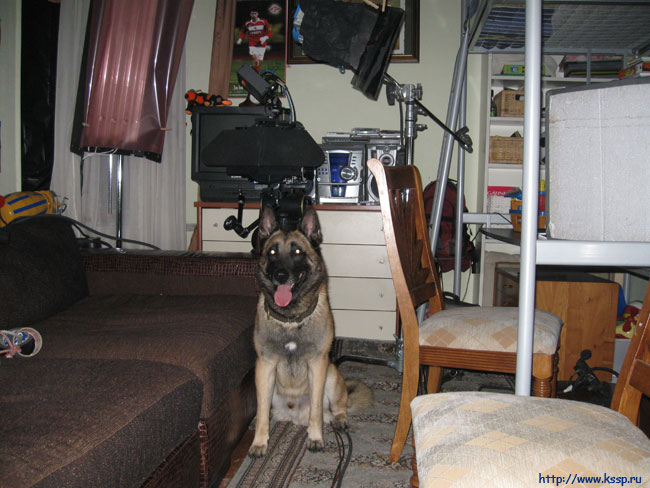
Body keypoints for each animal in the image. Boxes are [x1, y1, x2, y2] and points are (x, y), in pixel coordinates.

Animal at [248, 204, 372, 457]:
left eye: (297, 252)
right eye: (272, 252)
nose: (280, 275)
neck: (291, 319)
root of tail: (294, 415)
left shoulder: (318, 365)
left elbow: (316, 409)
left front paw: (315, 437)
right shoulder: (264, 366)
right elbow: (262, 408)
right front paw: (260, 441)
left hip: (332, 375)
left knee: (339, 406)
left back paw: (339, 419)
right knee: (267, 409)